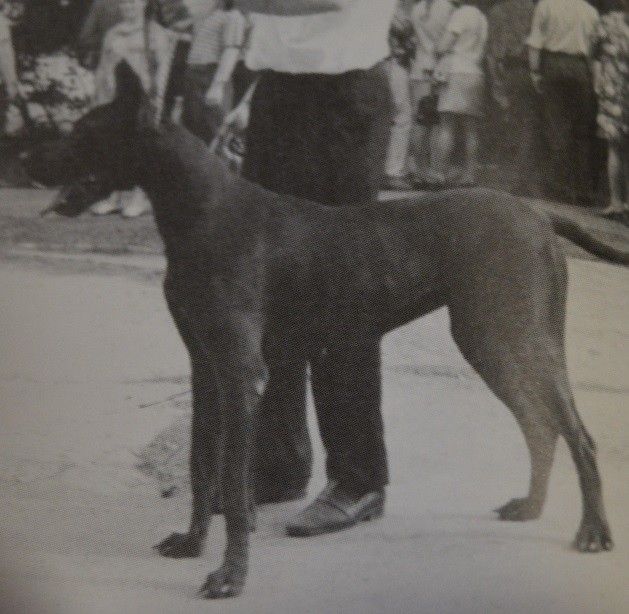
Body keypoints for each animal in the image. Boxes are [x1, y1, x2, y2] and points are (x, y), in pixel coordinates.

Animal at [24, 62, 618, 599]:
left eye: (83, 131)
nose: (29, 163)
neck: (201, 210)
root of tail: (538, 216)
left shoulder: (241, 373)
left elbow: (234, 486)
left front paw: (230, 576)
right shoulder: (205, 368)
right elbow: (201, 464)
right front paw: (192, 543)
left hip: (516, 338)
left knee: (576, 433)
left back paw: (593, 530)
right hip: (491, 342)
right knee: (541, 427)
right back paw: (531, 507)